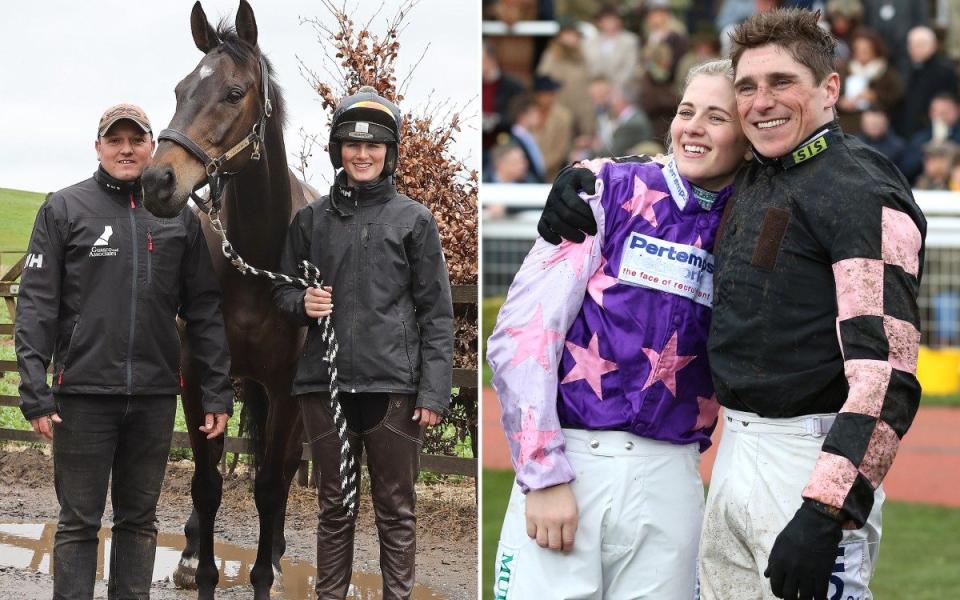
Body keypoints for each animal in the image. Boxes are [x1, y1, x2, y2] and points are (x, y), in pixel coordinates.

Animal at [140, 2, 316, 596]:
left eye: (234, 92)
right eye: (179, 89)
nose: (156, 180)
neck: (257, 264)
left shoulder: (285, 390)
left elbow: (269, 486)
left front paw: (263, 575)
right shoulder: (197, 378)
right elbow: (206, 483)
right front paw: (203, 571)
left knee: (282, 471)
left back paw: (279, 555)